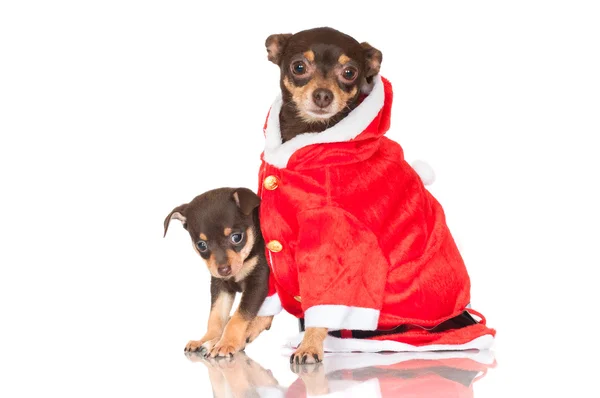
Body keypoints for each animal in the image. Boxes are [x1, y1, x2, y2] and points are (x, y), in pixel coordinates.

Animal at [166, 187, 274, 358]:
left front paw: (227, 342)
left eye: (237, 237)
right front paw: (207, 339)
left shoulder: (258, 282)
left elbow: (239, 316)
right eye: (201, 245)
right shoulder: (220, 286)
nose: (224, 269)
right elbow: (216, 316)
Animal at [255, 28, 494, 364]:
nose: (323, 95)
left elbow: (324, 301)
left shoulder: (338, 244)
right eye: (299, 67)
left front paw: (310, 345)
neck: (313, 142)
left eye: (349, 73)